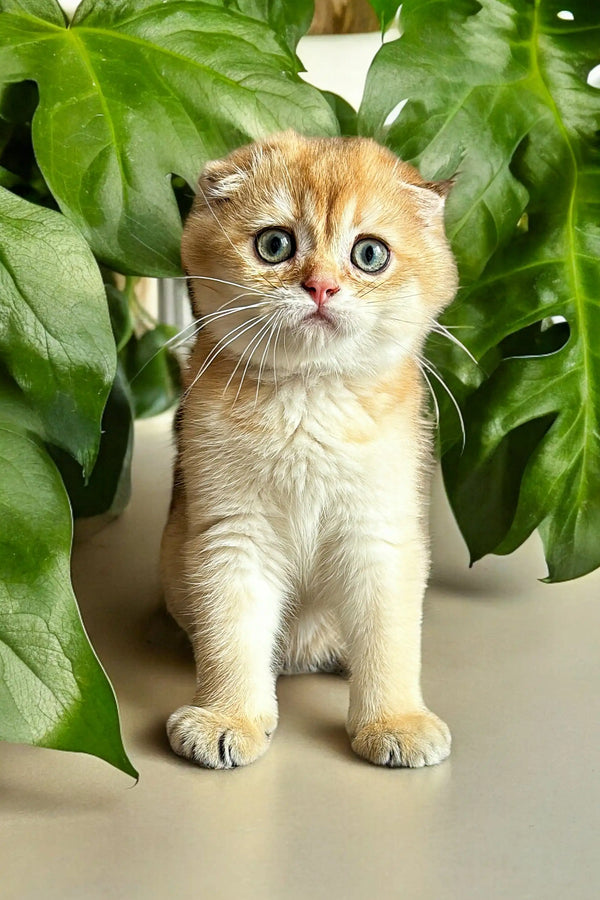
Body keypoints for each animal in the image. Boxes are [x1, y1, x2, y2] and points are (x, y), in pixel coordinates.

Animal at [162, 130, 458, 768]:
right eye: (276, 245)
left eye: (369, 254)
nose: (321, 287)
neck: (308, 399)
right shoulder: (233, 537)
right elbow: (230, 635)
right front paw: (228, 717)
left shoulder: (381, 538)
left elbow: (389, 640)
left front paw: (394, 721)